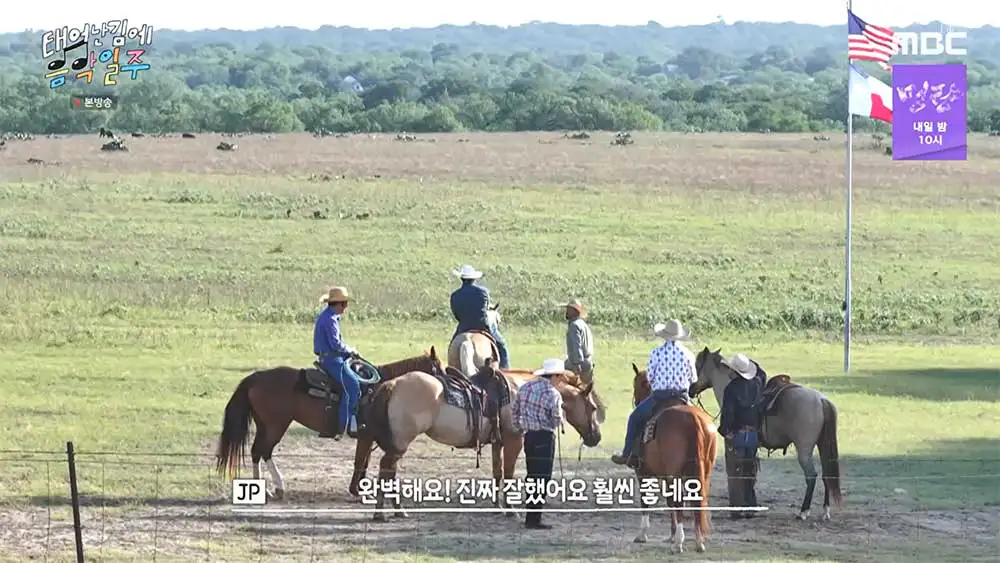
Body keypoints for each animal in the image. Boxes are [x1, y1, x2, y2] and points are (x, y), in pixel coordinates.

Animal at [218, 348, 446, 502]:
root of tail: (256, 377)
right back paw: (277, 488)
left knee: (257, 452)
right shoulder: (366, 435)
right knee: (264, 450)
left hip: (265, 424)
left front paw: (360, 489)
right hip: (276, 425)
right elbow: (360, 461)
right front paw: (357, 491)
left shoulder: (367, 438)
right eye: (440, 370)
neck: (383, 388)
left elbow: (363, 462)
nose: (446, 390)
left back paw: (263, 488)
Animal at [348, 368, 604, 524]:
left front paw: (497, 506)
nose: (596, 437)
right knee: (386, 470)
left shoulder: (497, 443)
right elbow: (509, 474)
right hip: (400, 444)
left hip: (396, 445)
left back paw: (397, 510)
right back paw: (382, 513)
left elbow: (497, 473)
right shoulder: (514, 440)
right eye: (592, 407)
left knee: (389, 471)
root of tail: (392, 384)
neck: (518, 391)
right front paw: (510, 509)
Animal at [628, 364, 716, 552]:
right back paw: (698, 541)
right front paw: (671, 534)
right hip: (703, 472)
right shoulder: (666, 476)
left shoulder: (643, 472)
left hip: (674, 472)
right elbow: (669, 501)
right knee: (697, 500)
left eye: (636, 385)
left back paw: (679, 543)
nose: (637, 402)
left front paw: (642, 534)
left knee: (679, 500)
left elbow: (647, 499)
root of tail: (693, 419)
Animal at [696, 346, 844, 524]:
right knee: (826, 475)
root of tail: (821, 399)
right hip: (822, 445)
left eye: (698, 366)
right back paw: (825, 511)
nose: (691, 389)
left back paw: (803, 512)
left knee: (811, 476)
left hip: (804, 450)